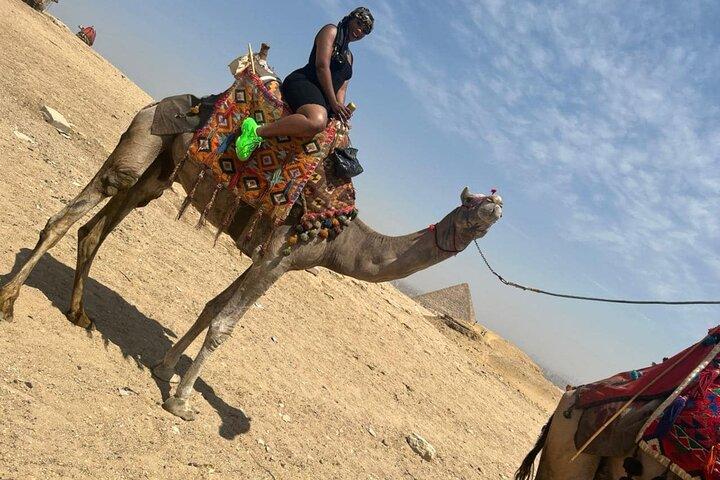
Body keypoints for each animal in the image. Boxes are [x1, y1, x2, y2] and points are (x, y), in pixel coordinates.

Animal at [0, 47, 503, 420]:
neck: (341, 233)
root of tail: (159, 103)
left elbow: (212, 307)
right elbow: (224, 325)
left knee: (96, 228)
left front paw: (163, 369)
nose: (496, 206)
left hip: (157, 173)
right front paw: (181, 401)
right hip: (140, 143)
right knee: (69, 216)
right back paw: (9, 302)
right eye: (471, 202)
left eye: (490, 200)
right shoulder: (280, 256)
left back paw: (79, 314)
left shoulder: (269, 258)